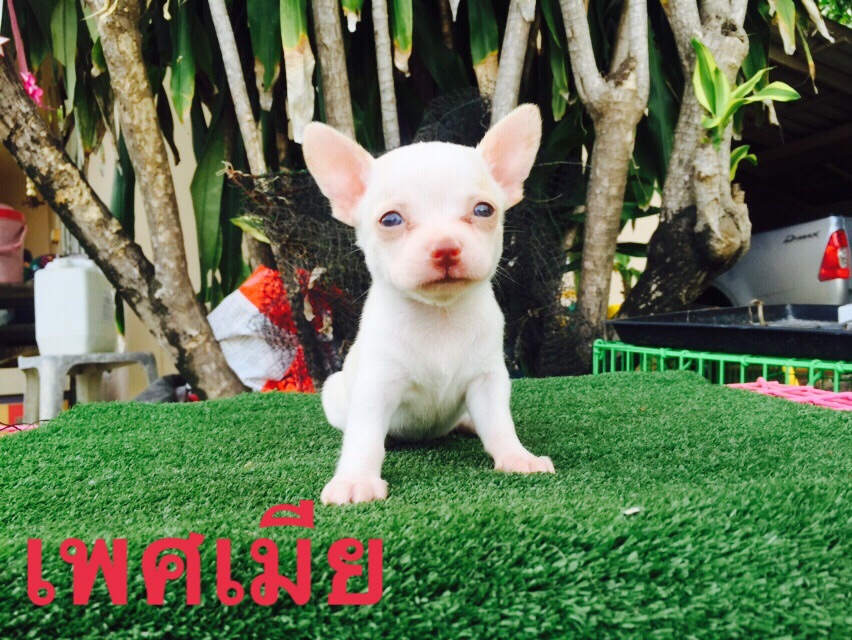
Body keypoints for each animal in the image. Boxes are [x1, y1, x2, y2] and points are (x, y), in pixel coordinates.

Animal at [302, 104, 554, 505]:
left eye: (484, 210)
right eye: (390, 219)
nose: (445, 246)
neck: (441, 316)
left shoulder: (488, 381)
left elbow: (500, 424)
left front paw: (517, 457)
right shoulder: (376, 387)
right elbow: (364, 438)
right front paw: (356, 478)